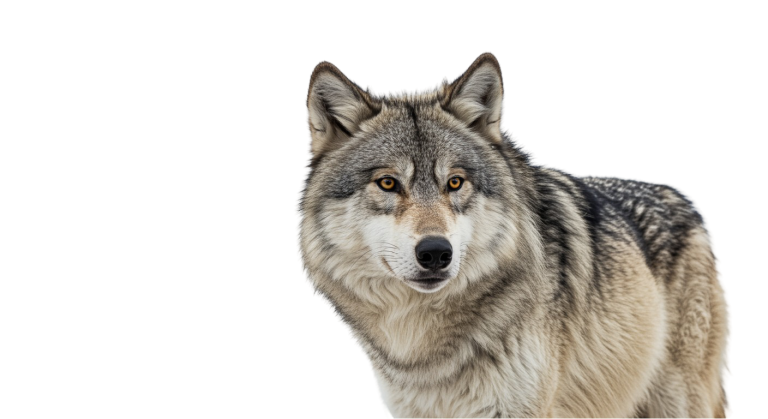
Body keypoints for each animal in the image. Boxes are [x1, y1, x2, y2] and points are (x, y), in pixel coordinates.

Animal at [295, 51, 733, 419]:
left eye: (455, 183)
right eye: (387, 183)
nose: (436, 253)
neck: (424, 348)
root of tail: (687, 200)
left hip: (680, 402)